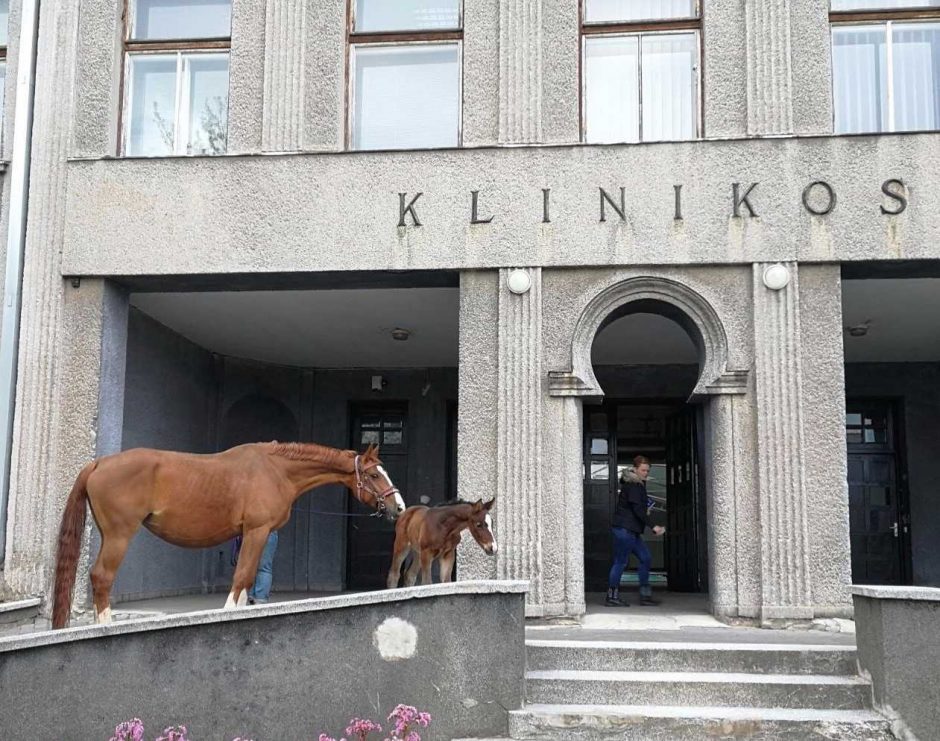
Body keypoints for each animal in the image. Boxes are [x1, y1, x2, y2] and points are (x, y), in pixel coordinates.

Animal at [50, 442, 404, 628]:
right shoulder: (256, 532)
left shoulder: (254, 536)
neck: (276, 470)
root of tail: (98, 464)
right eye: (374, 475)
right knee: (101, 577)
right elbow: (242, 576)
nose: (398, 507)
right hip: (119, 536)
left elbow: (247, 580)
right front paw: (228, 613)